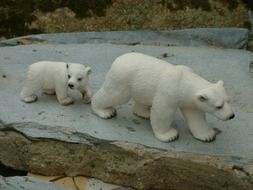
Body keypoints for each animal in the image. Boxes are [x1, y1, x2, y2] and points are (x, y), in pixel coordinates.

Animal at [91, 52, 235, 142]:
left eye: (228, 101)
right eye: (219, 106)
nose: (231, 116)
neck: (184, 81)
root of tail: (118, 59)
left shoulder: (190, 101)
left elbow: (196, 116)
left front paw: (207, 135)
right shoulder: (169, 91)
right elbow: (162, 112)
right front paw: (169, 135)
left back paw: (144, 113)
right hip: (123, 78)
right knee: (114, 94)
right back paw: (104, 111)